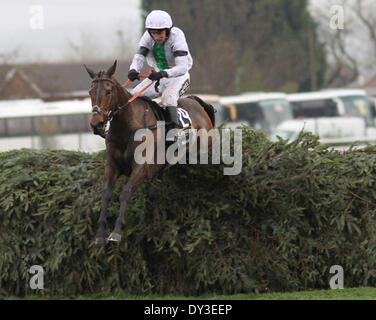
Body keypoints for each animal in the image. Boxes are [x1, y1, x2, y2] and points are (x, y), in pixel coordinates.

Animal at [83, 60, 216, 245]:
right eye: (90, 92)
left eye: (108, 91)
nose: (96, 124)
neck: (127, 127)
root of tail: (197, 102)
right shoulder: (112, 166)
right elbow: (106, 194)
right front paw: (100, 234)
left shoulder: (141, 168)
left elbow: (125, 193)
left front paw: (116, 232)